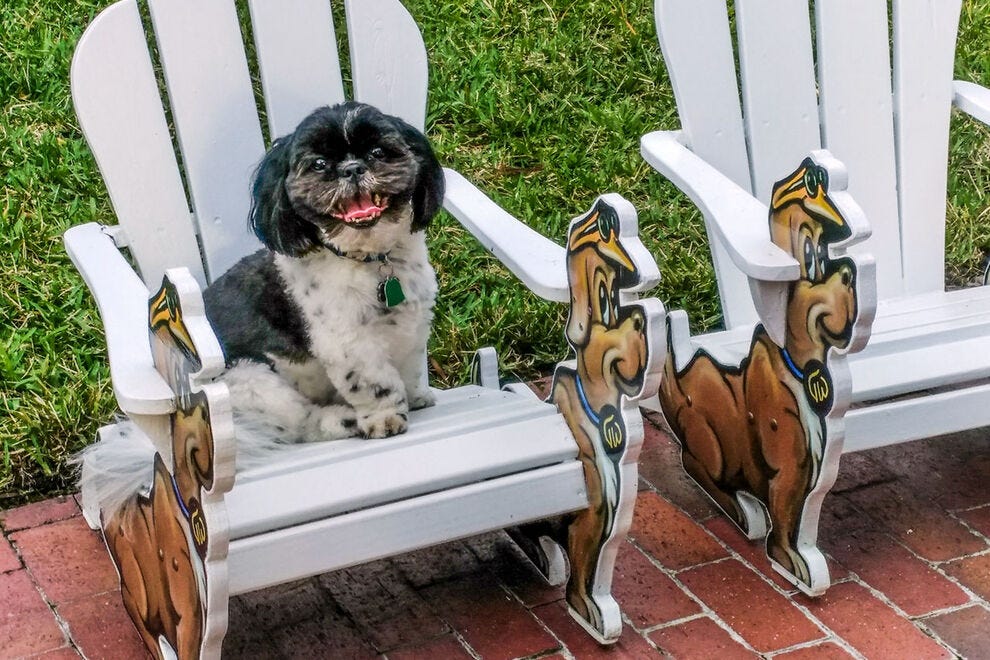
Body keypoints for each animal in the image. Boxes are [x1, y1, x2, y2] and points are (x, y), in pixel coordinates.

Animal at [203, 102, 444, 444]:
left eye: (378, 151)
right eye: (318, 164)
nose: (353, 168)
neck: (368, 259)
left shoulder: (413, 324)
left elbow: (409, 370)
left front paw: (416, 396)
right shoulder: (348, 343)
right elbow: (377, 385)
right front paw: (385, 419)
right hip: (250, 382)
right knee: (300, 424)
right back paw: (342, 420)